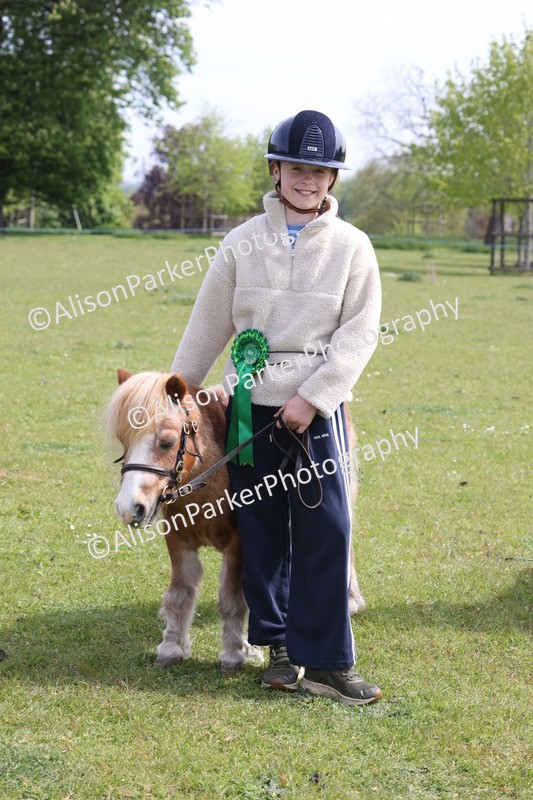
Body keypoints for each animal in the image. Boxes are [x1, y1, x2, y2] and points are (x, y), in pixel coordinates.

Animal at [104, 368, 365, 673]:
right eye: (124, 442)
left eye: (166, 442)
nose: (128, 508)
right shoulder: (179, 540)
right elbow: (179, 593)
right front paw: (172, 647)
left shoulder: (238, 544)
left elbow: (233, 599)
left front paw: (236, 653)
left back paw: (350, 600)